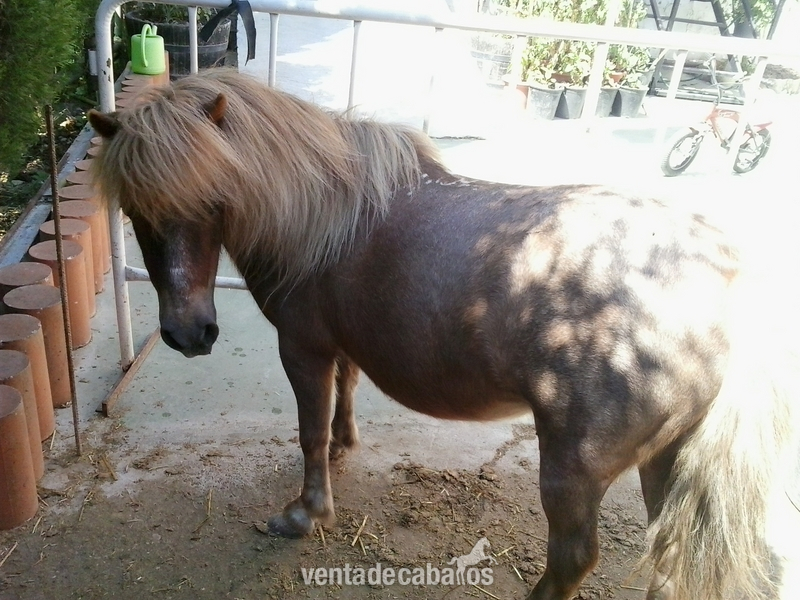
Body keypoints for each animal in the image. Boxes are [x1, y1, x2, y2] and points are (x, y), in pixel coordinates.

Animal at [88, 69, 797, 600]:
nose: (188, 333)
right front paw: (345, 446)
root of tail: (724, 286)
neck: (326, 216)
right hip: (666, 461)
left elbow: (308, 431)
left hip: (575, 468)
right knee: (670, 560)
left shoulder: (303, 349)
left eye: (213, 198)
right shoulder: (340, 346)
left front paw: (305, 512)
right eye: (134, 211)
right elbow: (344, 398)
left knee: (573, 558)